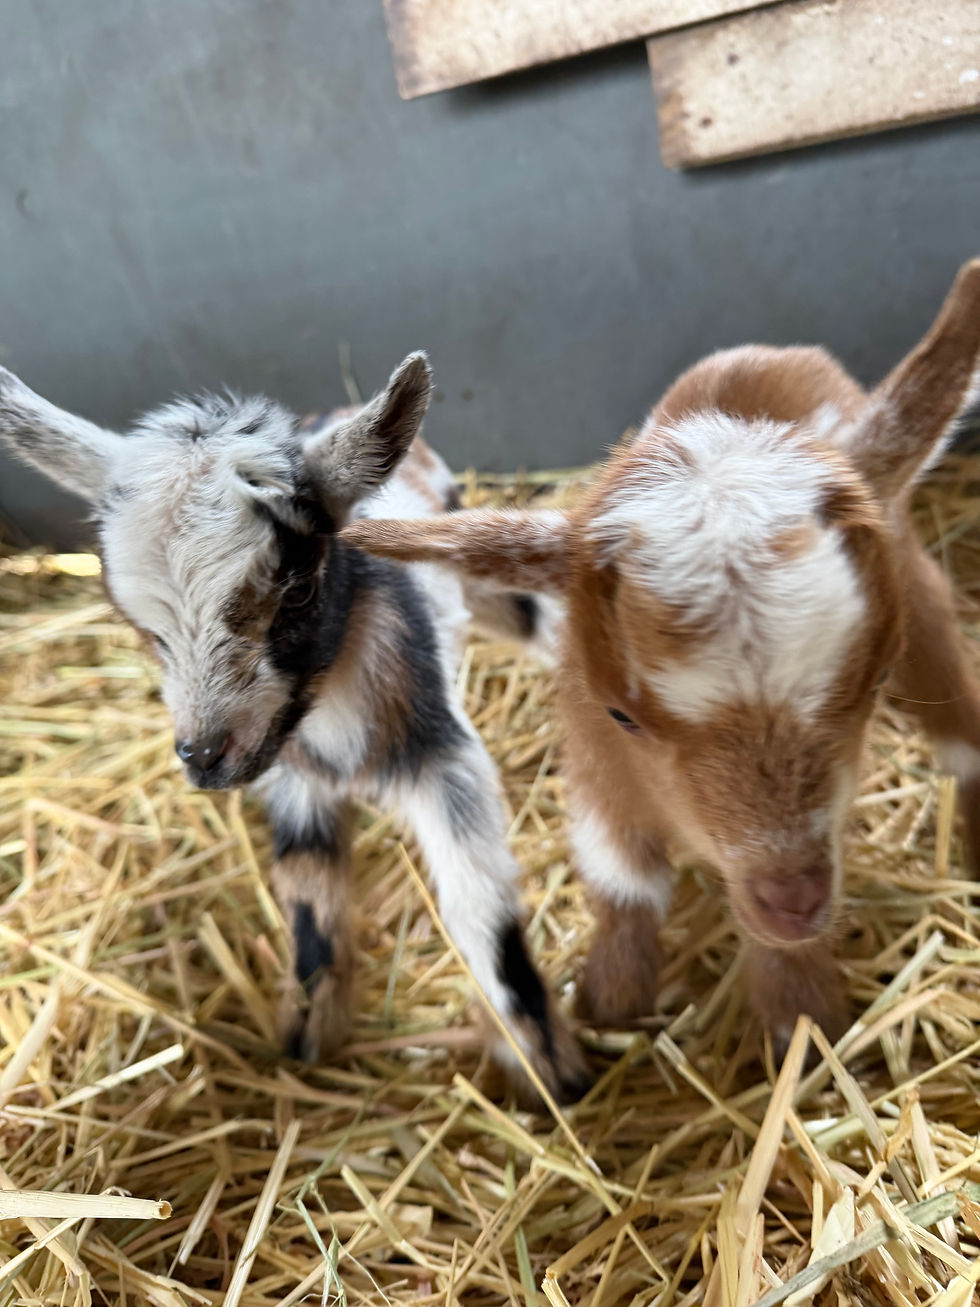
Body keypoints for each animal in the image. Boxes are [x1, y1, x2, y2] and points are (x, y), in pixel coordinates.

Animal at [0, 354, 590, 1103]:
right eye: (142, 627)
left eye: (300, 588)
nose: (202, 756)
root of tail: (331, 411)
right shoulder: (292, 779)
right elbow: (310, 897)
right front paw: (309, 1033)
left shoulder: (443, 758)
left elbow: (481, 905)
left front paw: (551, 1070)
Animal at [342, 259, 980, 1051]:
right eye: (624, 715)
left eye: (875, 680)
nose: (792, 899)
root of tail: (768, 352)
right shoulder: (590, 743)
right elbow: (621, 872)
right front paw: (611, 1000)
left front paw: (801, 1019)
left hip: (915, 581)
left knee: (958, 720)